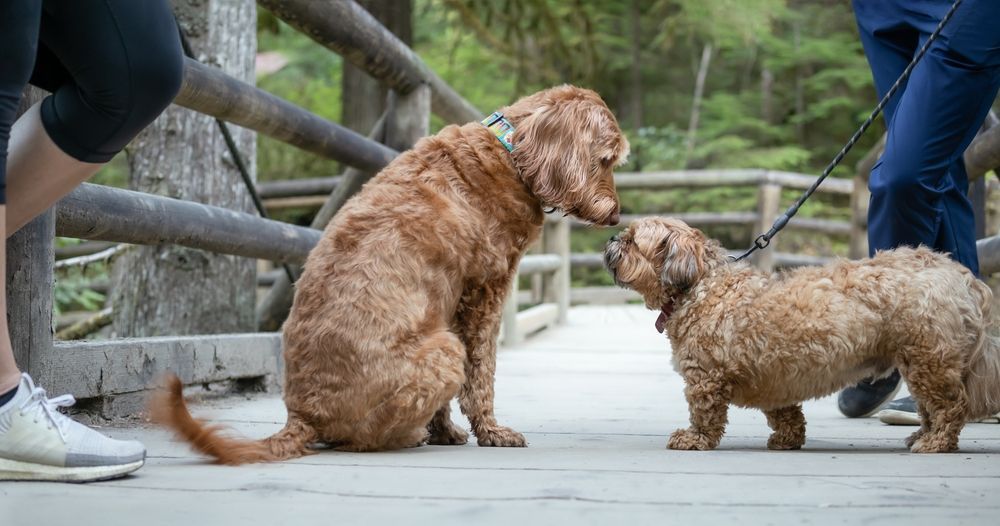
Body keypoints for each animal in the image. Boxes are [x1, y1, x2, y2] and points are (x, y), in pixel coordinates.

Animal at [152, 84, 628, 464]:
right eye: (605, 159)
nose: (615, 216)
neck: (510, 152)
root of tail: (303, 415)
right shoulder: (484, 295)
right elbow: (481, 376)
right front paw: (492, 433)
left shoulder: (447, 304)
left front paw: (446, 432)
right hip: (443, 350)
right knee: (364, 440)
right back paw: (409, 437)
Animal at [600, 218, 1000, 454]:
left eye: (632, 241)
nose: (612, 238)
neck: (701, 284)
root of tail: (960, 275)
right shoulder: (774, 375)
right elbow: (785, 414)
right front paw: (788, 439)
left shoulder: (705, 377)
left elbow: (705, 413)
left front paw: (695, 438)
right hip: (922, 362)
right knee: (932, 407)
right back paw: (922, 435)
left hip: (927, 360)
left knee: (950, 408)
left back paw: (936, 441)